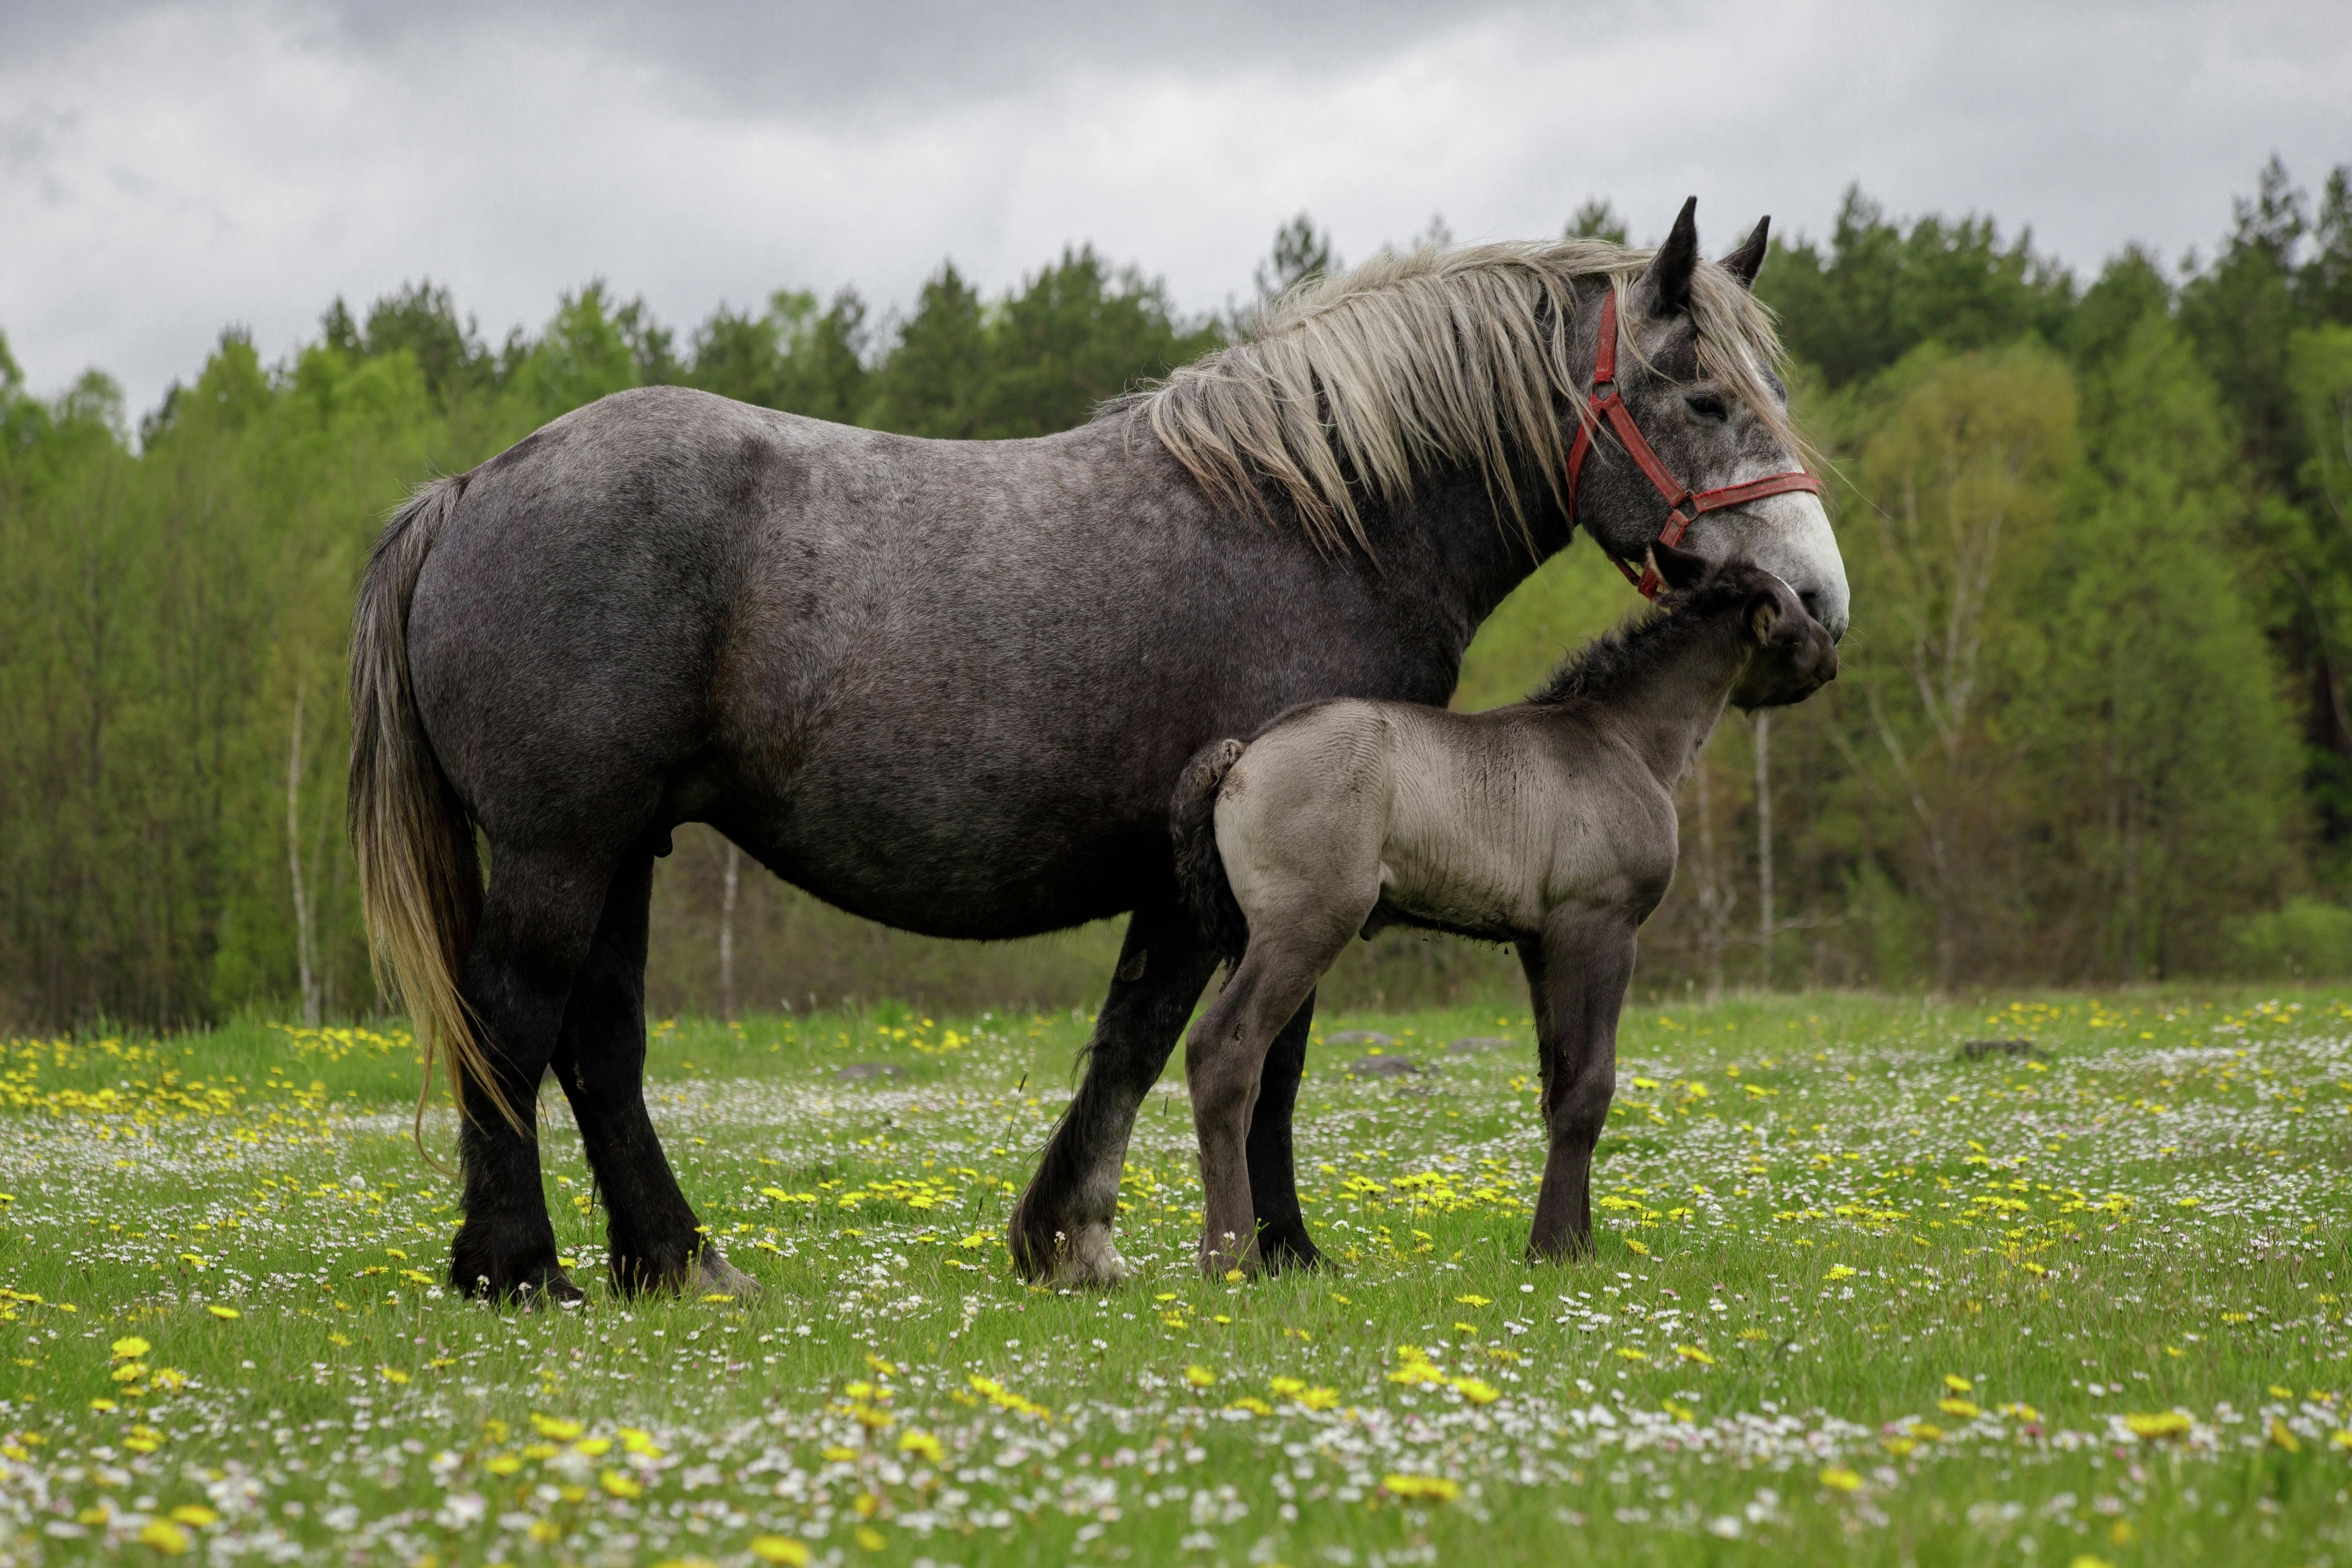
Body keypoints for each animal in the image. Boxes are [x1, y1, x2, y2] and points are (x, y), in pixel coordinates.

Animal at [1169, 547, 1838, 1274]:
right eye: (1796, 612)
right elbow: (1589, 1087)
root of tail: (1241, 757)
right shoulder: (1599, 923)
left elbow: (1557, 1083)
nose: (1832, 655)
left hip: (1249, 937)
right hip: (1304, 927)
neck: (1625, 739)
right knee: (1223, 1052)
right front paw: (1553, 1247)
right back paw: (1232, 1259)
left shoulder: (1538, 943)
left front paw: (1578, 1242)